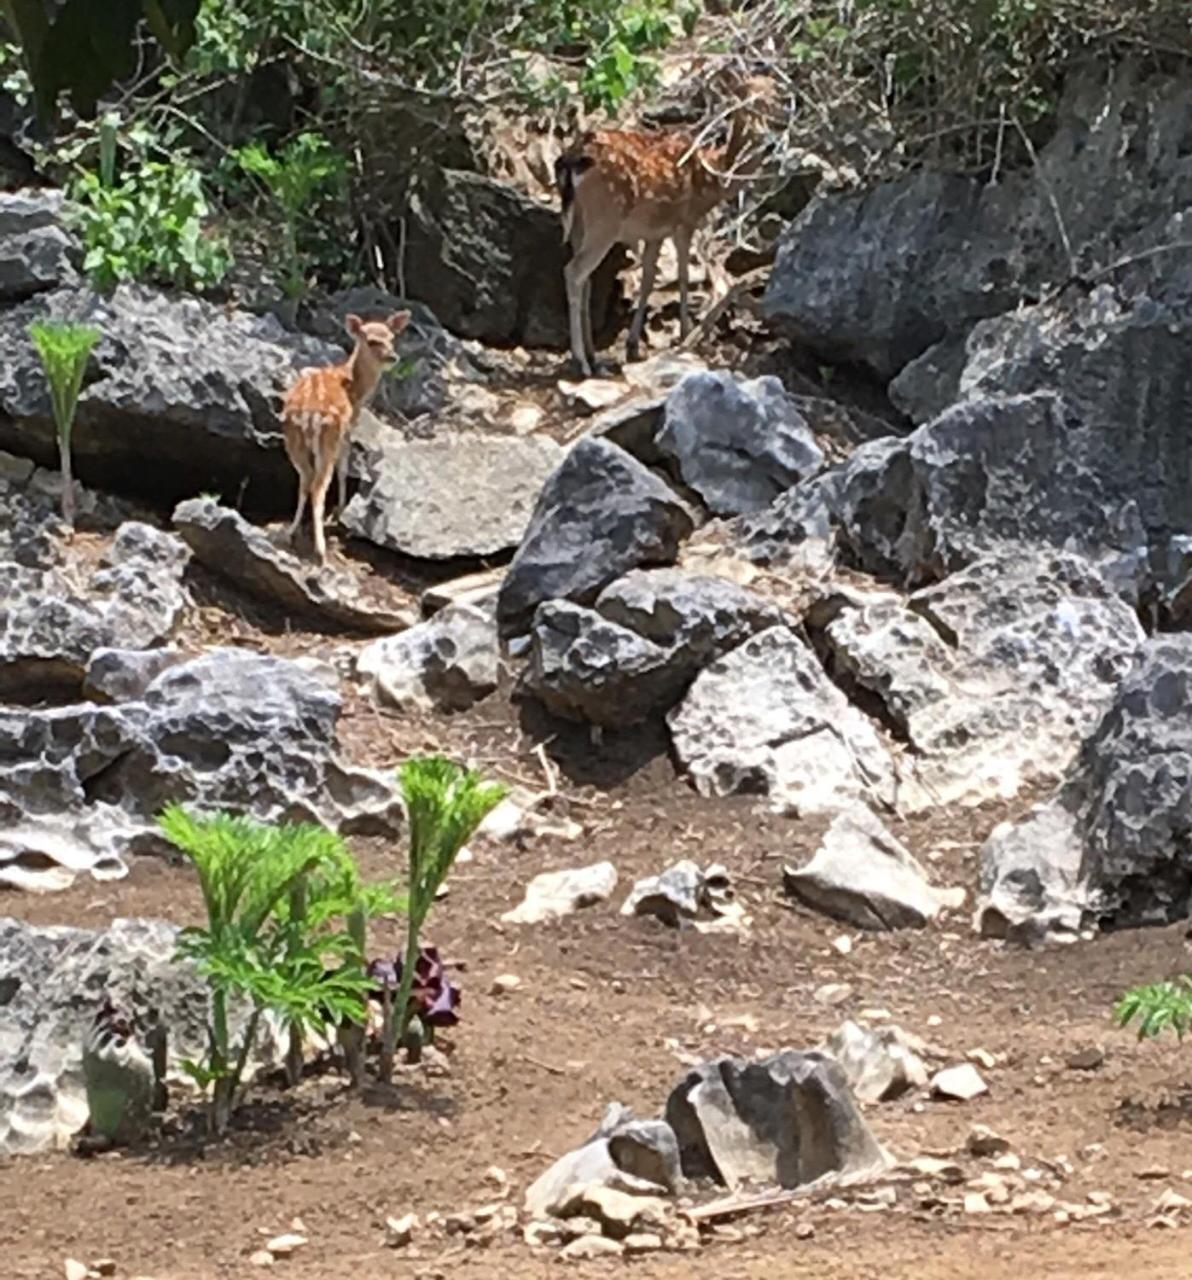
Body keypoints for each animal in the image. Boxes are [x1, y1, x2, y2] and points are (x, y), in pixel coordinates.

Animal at [281, 309, 412, 560]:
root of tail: (306, 413)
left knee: (305, 479)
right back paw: (321, 549)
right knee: (318, 485)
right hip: (327, 438)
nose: (393, 357)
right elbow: (343, 468)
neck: (355, 389)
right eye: (372, 341)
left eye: (392, 337)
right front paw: (340, 510)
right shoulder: (348, 428)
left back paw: (291, 532)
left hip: (293, 441)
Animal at [555, 81, 768, 373]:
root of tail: (572, 159)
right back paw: (582, 362)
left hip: (580, 223)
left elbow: (648, 280)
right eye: (750, 100)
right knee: (574, 272)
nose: (765, 133)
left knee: (585, 278)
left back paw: (593, 356)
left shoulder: (654, 232)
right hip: (605, 220)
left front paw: (633, 345)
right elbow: (683, 275)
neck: (714, 176)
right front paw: (686, 336)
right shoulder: (686, 222)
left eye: (773, 93)